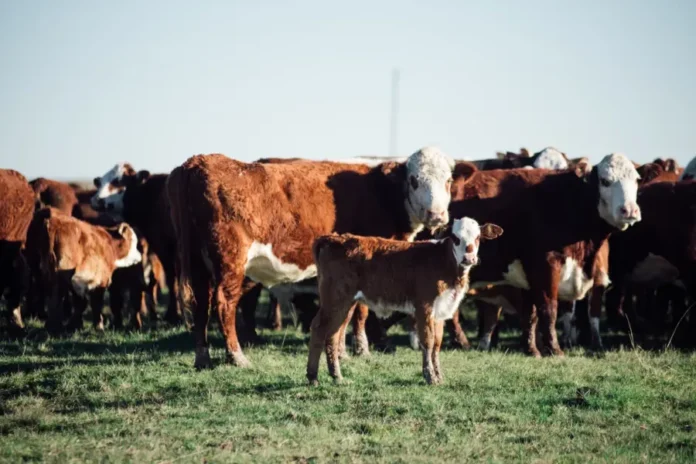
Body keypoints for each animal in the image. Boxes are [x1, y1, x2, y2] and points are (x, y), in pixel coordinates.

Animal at [167, 147, 456, 369]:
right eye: (414, 180)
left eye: (448, 181)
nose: (437, 215)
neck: (380, 192)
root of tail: (198, 161)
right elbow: (360, 312)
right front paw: (360, 350)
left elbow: (347, 312)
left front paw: (342, 351)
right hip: (230, 260)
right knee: (224, 304)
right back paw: (237, 357)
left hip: (197, 263)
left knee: (201, 306)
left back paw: (203, 358)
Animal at [307, 218, 503, 385]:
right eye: (455, 238)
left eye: (477, 238)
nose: (469, 258)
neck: (445, 262)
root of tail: (332, 238)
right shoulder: (424, 306)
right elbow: (428, 341)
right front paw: (430, 377)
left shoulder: (440, 310)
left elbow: (437, 344)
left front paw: (439, 376)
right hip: (335, 299)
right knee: (319, 329)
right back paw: (313, 377)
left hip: (345, 304)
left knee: (333, 334)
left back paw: (336, 377)